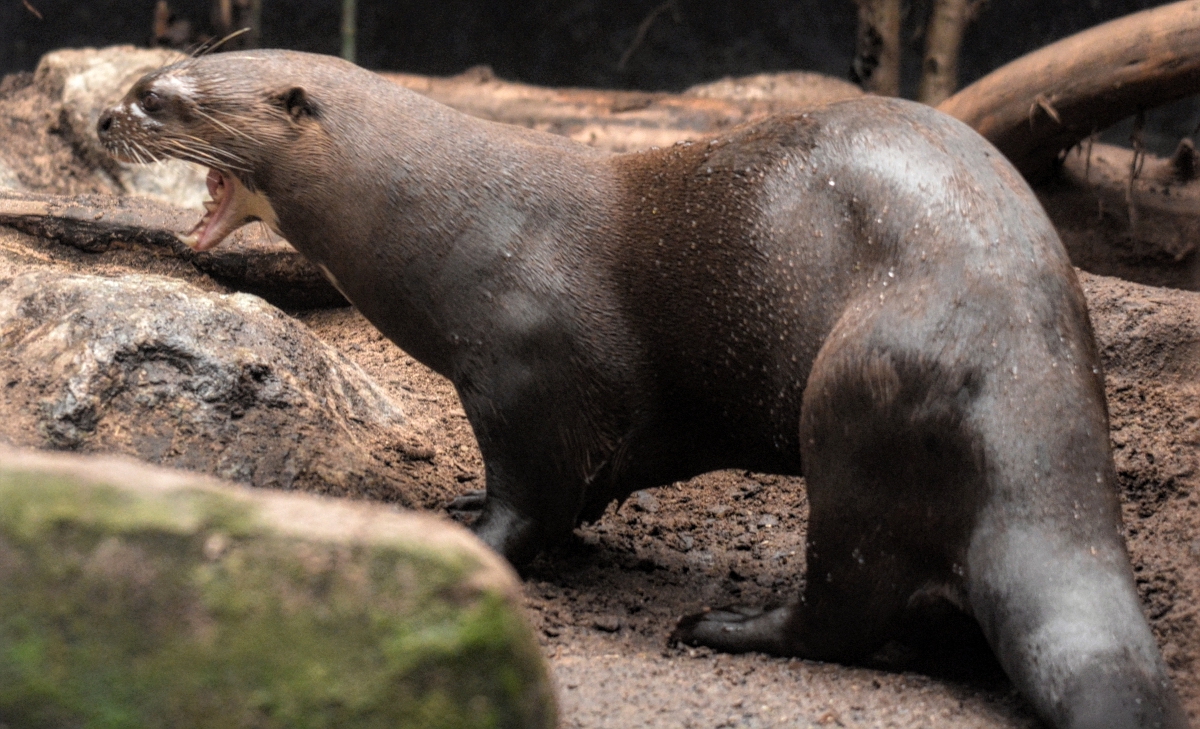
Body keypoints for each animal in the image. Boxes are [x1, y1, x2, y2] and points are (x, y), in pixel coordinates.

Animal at [98, 50, 1187, 728]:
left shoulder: (522, 374)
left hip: (857, 403)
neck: (448, 219)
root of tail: (1034, 417)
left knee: (847, 610)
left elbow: (529, 502)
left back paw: (721, 628)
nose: (109, 115)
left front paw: (469, 539)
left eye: (167, 94)